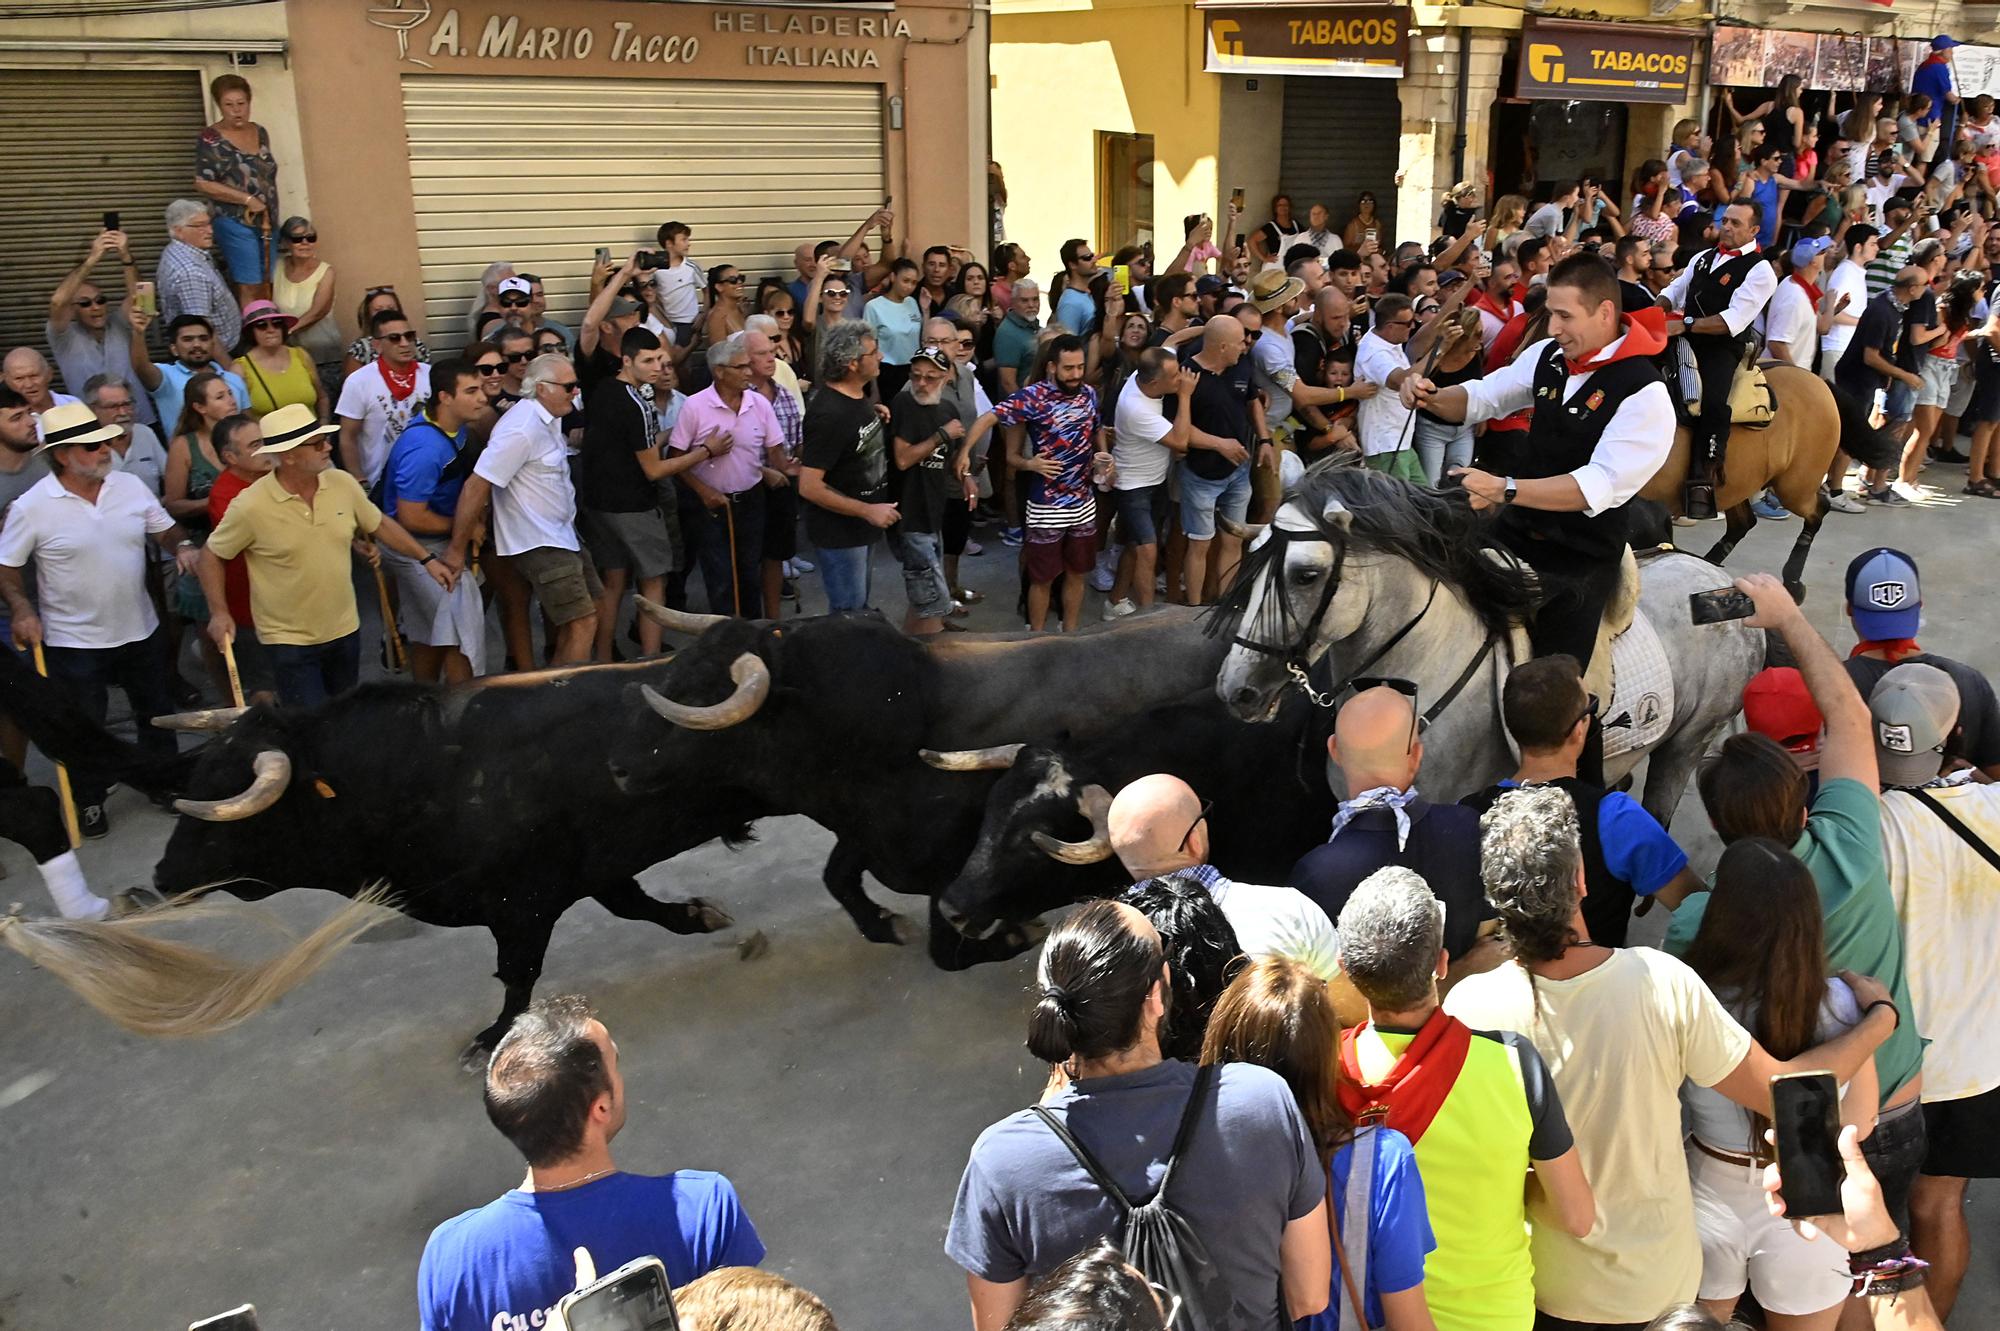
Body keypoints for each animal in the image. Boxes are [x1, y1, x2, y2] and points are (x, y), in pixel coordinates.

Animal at [1640, 357, 1840, 595]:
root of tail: (1816, 379)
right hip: (1736, 484)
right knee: (1743, 523)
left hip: (1794, 488)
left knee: (1818, 510)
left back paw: (1792, 583)